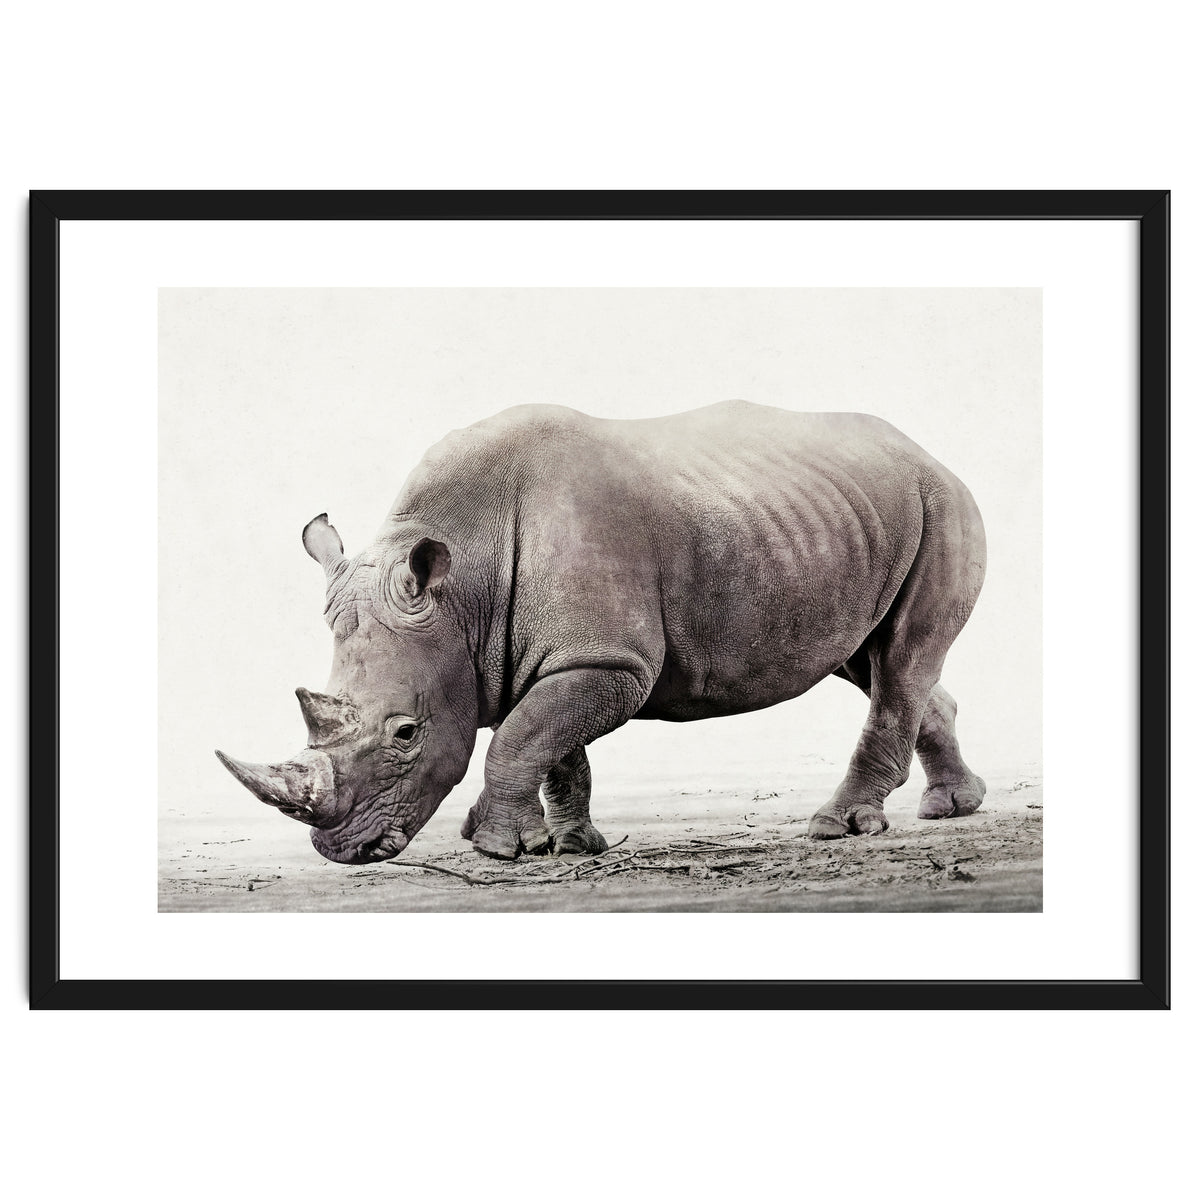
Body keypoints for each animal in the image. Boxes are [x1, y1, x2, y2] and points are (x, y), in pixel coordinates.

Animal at [217, 400, 987, 864]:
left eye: (405, 733)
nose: (341, 849)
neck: (463, 586)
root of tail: (927, 452)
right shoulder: (558, 655)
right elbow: (553, 744)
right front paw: (571, 844)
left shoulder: (610, 659)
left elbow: (523, 736)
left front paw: (497, 849)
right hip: (844, 518)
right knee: (873, 661)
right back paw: (952, 808)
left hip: (942, 504)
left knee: (900, 660)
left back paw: (839, 827)